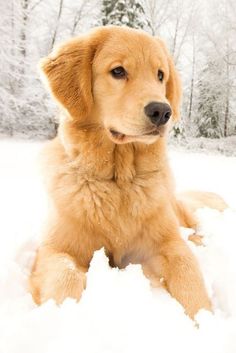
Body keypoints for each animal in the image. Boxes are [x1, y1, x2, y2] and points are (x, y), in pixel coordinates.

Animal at [30, 24, 227, 316]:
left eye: (160, 75)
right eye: (118, 71)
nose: (162, 111)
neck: (119, 180)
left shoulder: (167, 244)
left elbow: (187, 272)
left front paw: (203, 320)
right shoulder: (55, 249)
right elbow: (65, 277)